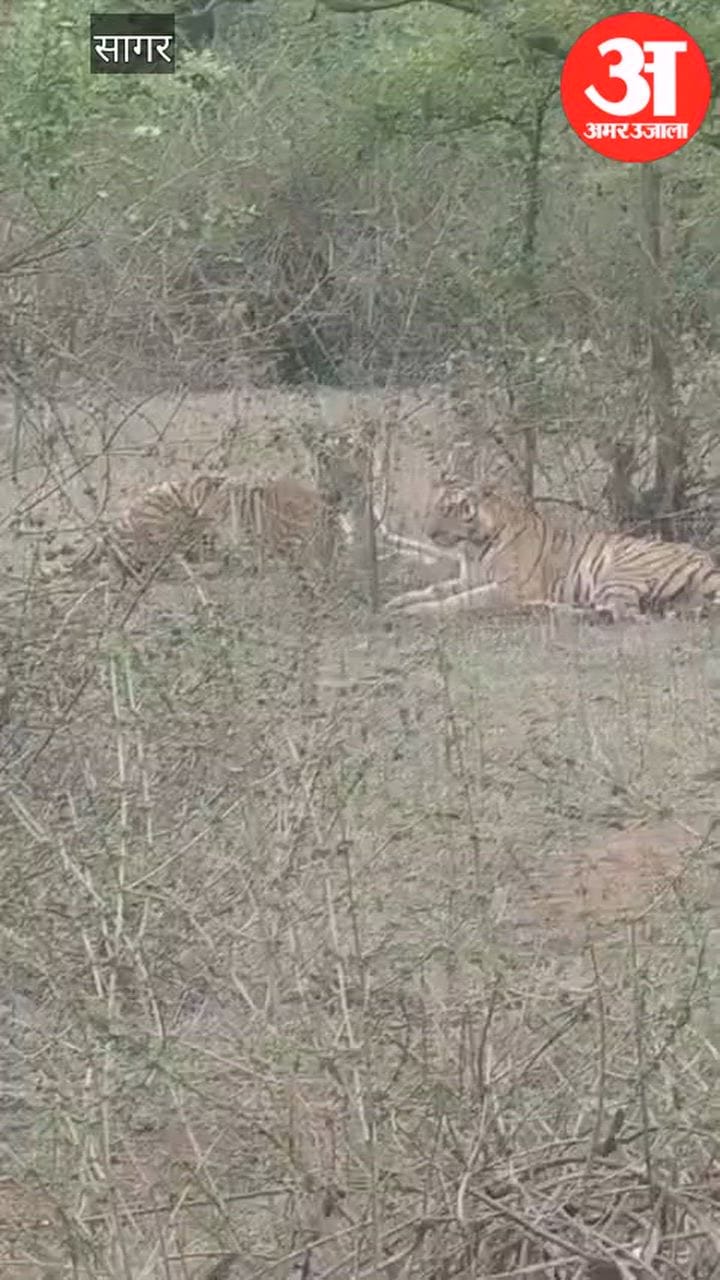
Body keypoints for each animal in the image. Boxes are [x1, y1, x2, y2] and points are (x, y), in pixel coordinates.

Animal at [384, 479, 720, 622]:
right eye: (436, 508)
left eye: (451, 509)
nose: (429, 533)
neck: (473, 545)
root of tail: (708, 562)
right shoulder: (469, 578)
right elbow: (434, 588)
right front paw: (396, 602)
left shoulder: (511, 587)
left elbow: (460, 600)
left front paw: (412, 611)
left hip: (618, 572)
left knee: (622, 613)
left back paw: (549, 609)